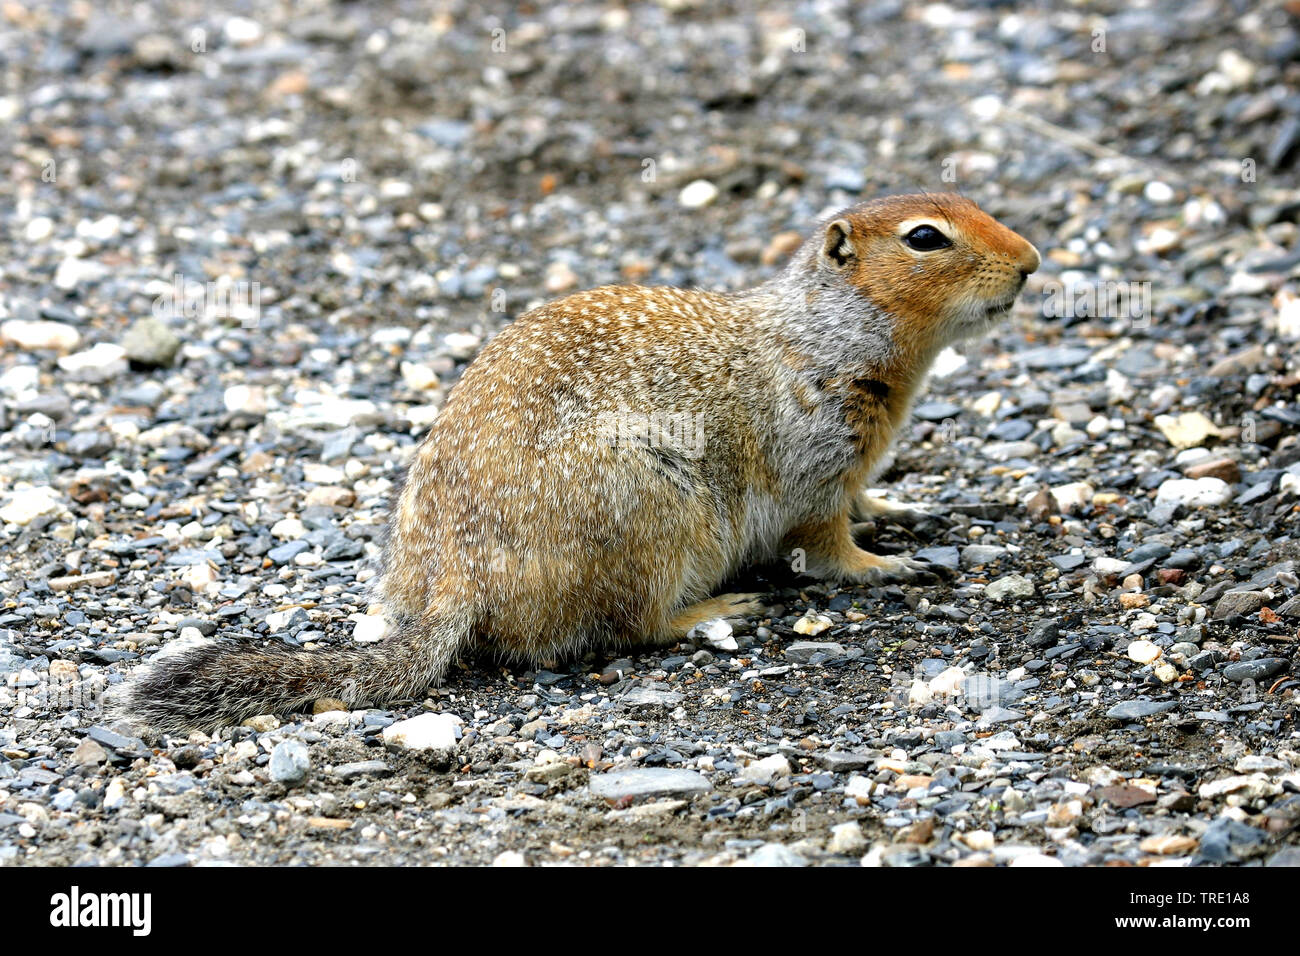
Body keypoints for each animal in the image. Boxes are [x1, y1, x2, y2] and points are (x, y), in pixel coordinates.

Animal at [116, 192, 1040, 733]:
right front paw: (889, 566)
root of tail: (456, 582)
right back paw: (716, 609)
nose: (1033, 263)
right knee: (628, 627)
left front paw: (903, 512)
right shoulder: (816, 453)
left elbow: (862, 505)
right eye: (926, 238)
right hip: (659, 514)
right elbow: (826, 542)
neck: (833, 331)